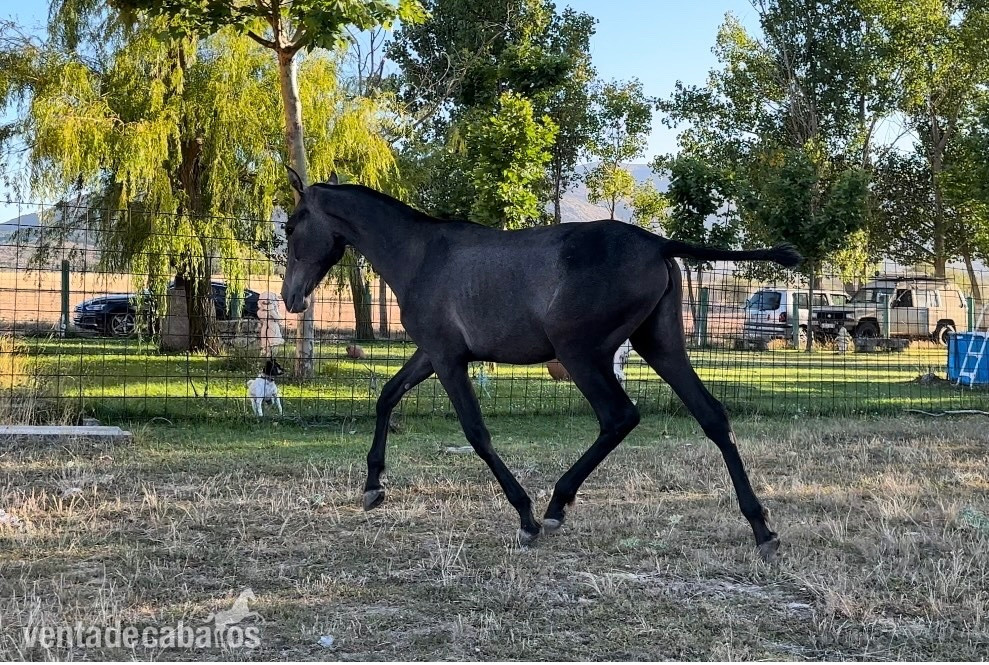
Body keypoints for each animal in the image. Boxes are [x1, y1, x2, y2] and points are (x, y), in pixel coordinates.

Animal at [280, 169, 800, 561]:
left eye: (290, 227)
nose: (290, 298)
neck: (420, 254)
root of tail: (657, 243)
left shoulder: (448, 359)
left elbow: (476, 433)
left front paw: (525, 516)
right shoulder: (431, 353)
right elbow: (387, 396)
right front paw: (373, 487)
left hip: (580, 353)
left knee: (619, 416)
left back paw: (555, 505)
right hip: (661, 346)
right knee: (712, 415)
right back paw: (762, 529)